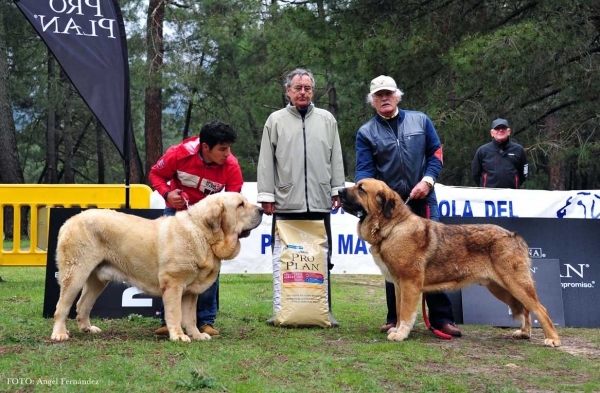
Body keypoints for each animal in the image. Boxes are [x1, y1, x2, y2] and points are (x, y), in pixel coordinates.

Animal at [52, 191, 264, 342]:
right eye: (240, 205)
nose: (262, 210)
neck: (202, 233)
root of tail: (70, 220)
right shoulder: (174, 284)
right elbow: (175, 313)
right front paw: (178, 335)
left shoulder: (190, 291)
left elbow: (190, 316)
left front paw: (196, 334)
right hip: (76, 273)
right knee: (62, 306)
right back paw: (59, 334)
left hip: (96, 280)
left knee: (82, 304)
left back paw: (87, 328)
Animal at [340, 178, 560, 346]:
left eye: (361, 189)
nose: (339, 191)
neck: (392, 227)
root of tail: (514, 236)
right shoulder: (399, 285)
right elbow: (400, 311)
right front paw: (396, 328)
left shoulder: (410, 283)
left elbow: (406, 313)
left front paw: (400, 334)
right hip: (500, 287)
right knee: (524, 309)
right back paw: (524, 332)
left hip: (515, 283)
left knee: (540, 309)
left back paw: (553, 339)